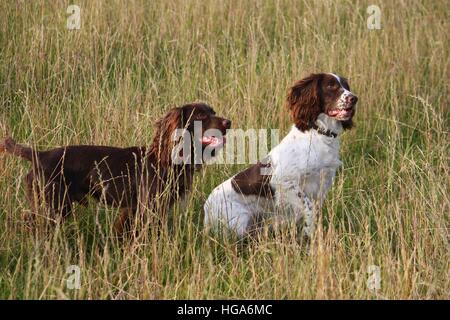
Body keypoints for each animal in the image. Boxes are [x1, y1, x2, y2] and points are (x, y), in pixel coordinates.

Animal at [1, 102, 230, 238]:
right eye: (200, 114)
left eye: (213, 112)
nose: (228, 122)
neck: (166, 159)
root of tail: (40, 155)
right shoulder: (148, 208)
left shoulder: (134, 210)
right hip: (53, 206)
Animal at [204, 72, 358, 238]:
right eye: (331, 86)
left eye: (346, 86)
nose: (354, 98)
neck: (319, 134)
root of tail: (205, 210)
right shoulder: (285, 181)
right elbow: (308, 208)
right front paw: (309, 235)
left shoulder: (323, 183)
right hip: (240, 221)